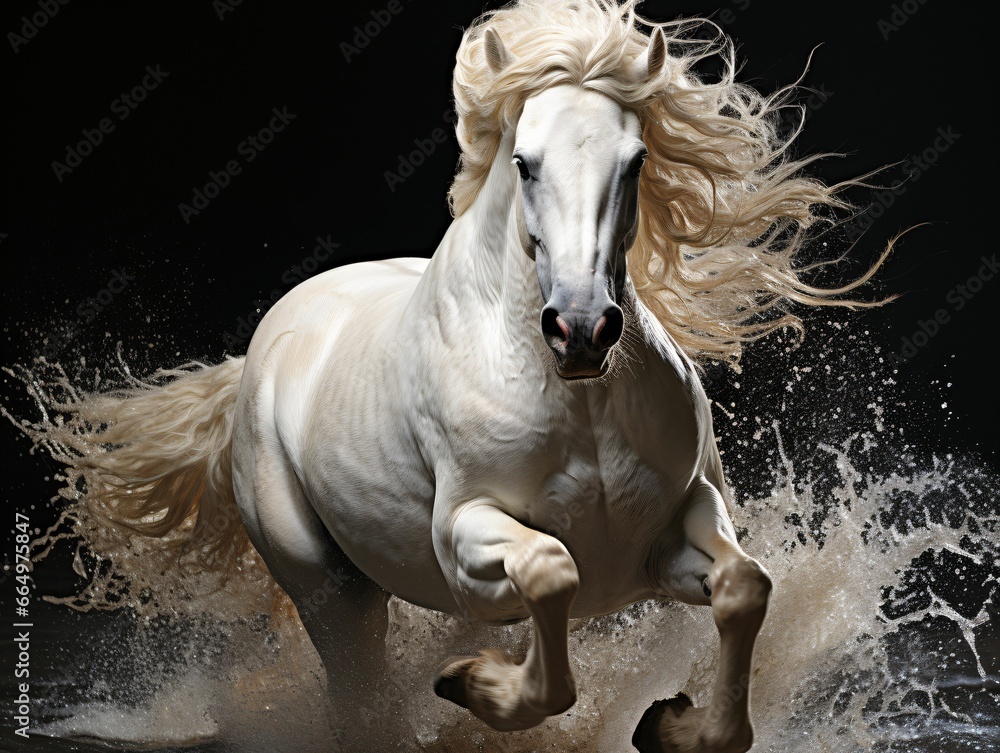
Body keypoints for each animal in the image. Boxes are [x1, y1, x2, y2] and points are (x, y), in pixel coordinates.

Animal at [32, 1, 890, 750]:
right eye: (525, 162)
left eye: (636, 160)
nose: (581, 328)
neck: (578, 403)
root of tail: (263, 351)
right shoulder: (467, 539)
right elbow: (552, 574)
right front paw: (478, 687)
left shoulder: (675, 530)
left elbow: (746, 587)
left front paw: (672, 725)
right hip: (331, 590)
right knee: (359, 695)